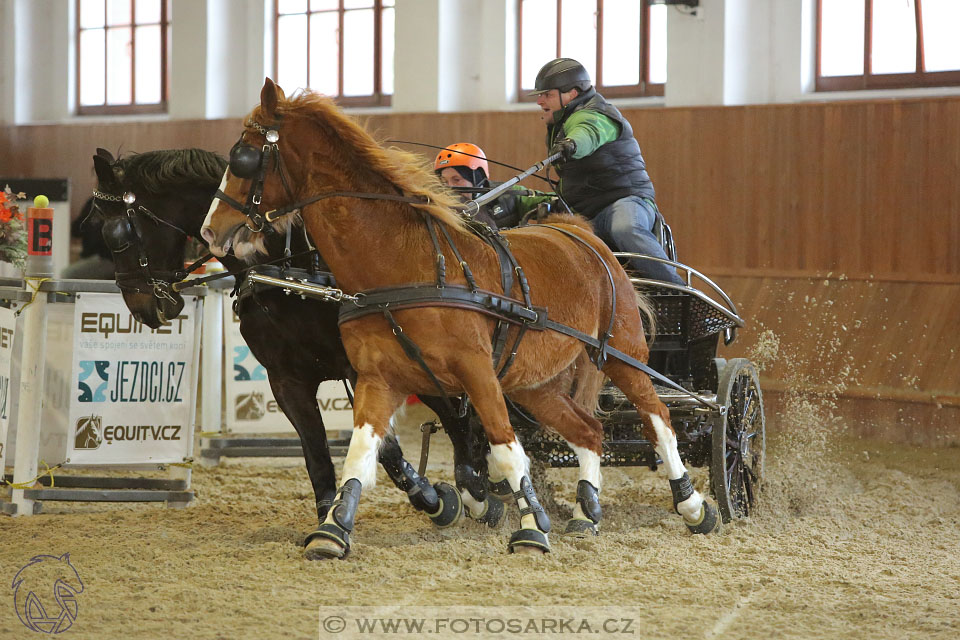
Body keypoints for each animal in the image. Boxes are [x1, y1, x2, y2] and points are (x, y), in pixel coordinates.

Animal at [92, 145, 502, 556]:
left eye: (117, 236)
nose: (142, 310)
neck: (289, 270)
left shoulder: (365, 369)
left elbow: (385, 447)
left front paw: (435, 501)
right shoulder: (286, 380)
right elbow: (316, 453)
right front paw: (328, 522)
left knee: (463, 416)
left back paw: (481, 490)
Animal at [199, 80, 716, 556]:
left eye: (243, 156)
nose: (209, 230)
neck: (404, 264)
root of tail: (578, 231)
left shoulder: (477, 371)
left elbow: (506, 452)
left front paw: (529, 527)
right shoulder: (376, 376)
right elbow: (362, 452)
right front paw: (333, 529)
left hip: (624, 355)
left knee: (659, 419)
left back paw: (692, 505)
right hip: (536, 383)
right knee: (590, 430)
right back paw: (586, 511)